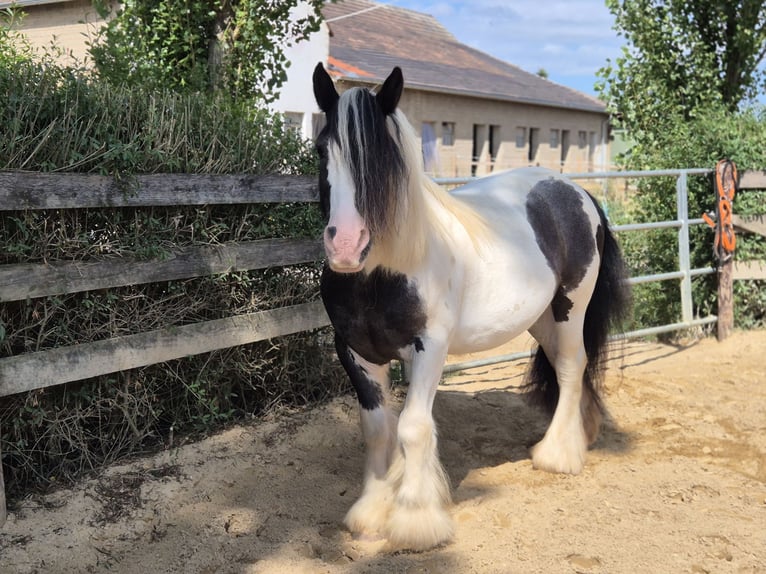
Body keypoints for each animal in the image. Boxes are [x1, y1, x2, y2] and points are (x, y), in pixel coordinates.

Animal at [312, 63, 631, 551]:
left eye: (386, 158)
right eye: (320, 149)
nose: (346, 246)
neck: (383, 274)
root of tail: (576, 192)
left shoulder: (430, 347)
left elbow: (413, 427)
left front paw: (415, 520)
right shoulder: (356, 352)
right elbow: (378, 428)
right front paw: (371, 512)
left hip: (570, 309)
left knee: (572, 366)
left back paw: (556, 454)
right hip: (539, 319)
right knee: (565, 368)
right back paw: (583, 433)